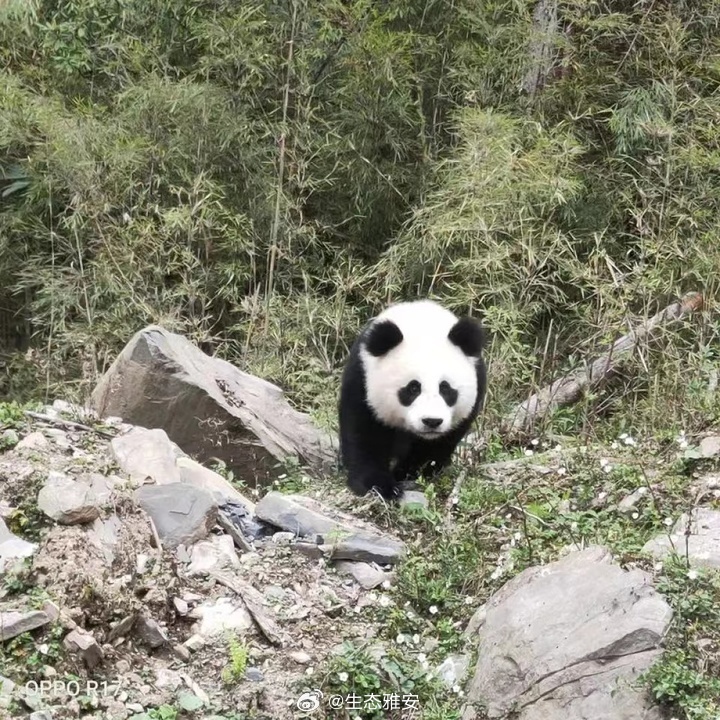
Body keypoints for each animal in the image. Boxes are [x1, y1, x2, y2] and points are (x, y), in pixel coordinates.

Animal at [336, 298, 484, 500]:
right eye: (413, 388)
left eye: (445, 388)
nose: (432, 421)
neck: (420, 322)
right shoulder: (361, 376)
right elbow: (363, 431)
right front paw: (379, 485)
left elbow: (437, 443)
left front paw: (410, 472)